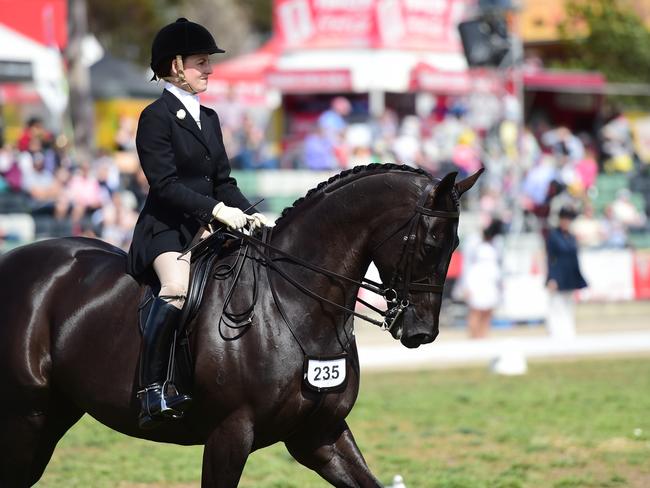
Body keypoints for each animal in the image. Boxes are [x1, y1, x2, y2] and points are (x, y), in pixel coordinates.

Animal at [0, 165, 476, 488]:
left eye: (455, 243)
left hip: (53, 414)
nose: (420, 332)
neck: (293, 302)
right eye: (430, 243)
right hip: (26, 416)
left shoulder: (318, 435)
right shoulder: (230, 432)